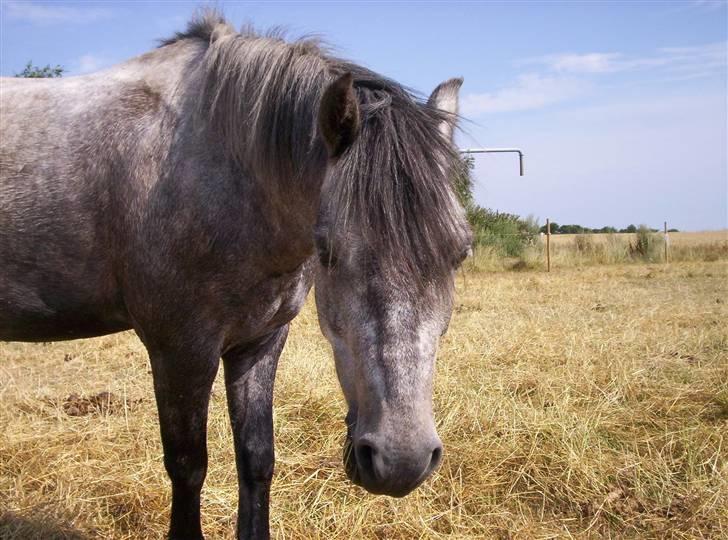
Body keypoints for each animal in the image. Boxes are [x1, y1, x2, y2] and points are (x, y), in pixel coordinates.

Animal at [0, 11, 470, 540]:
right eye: (328, 252)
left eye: (460, 253)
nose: (400, 462)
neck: (220, 170)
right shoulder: (180, 350)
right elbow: (188, 467)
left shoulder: (259, 343)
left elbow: (257, 459)